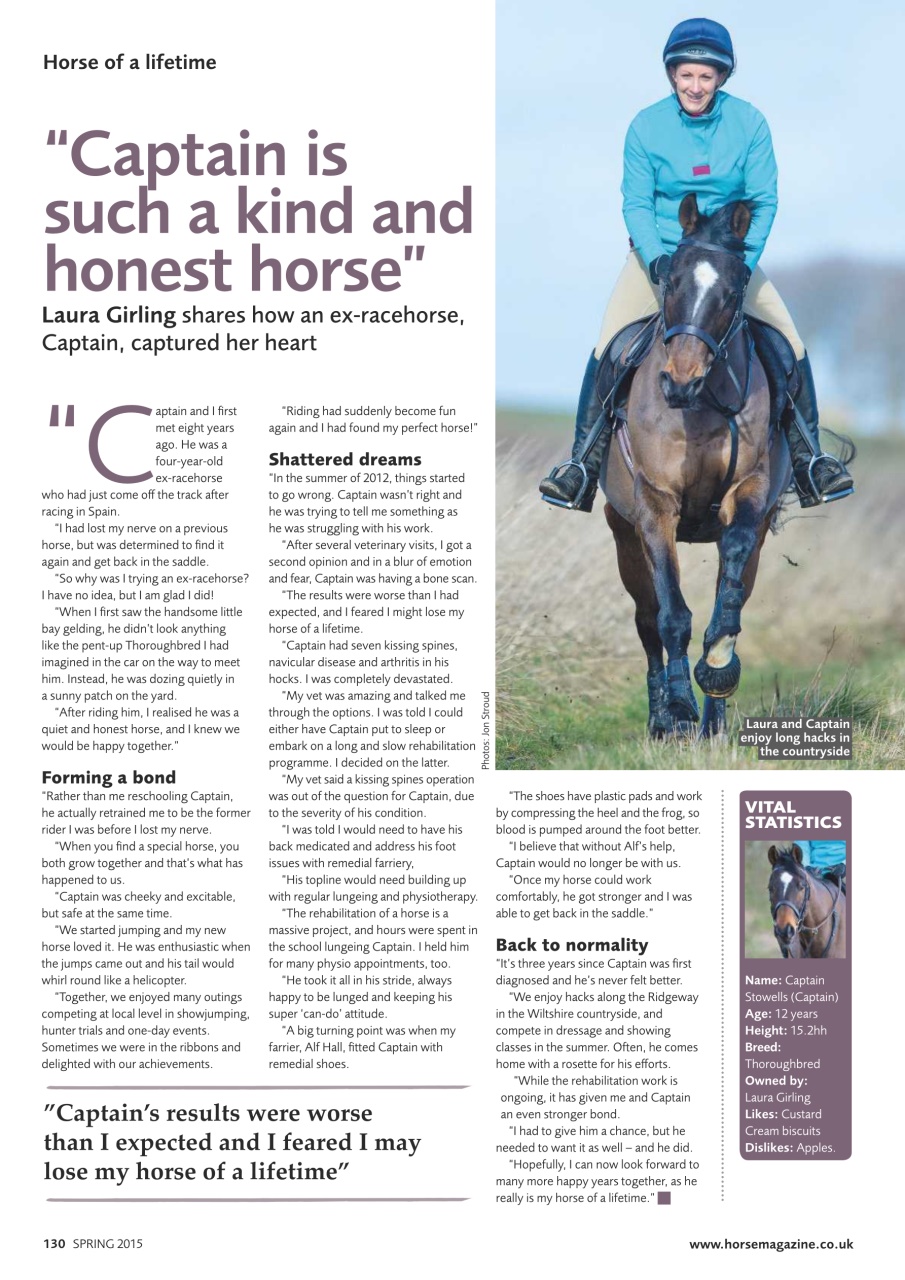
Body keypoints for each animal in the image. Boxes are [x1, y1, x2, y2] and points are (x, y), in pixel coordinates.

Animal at [602, 194, 791, 739]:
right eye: (672, 284)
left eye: (731, 292)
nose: (679, 381)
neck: (701, 404)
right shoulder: (654, 506)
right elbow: (671, 615)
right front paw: (679, 708)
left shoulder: (749, 493)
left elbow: (729, 592)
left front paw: (719, 668)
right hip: (623, 535)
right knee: (647, 619)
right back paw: (662, 719)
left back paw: (713, 720)